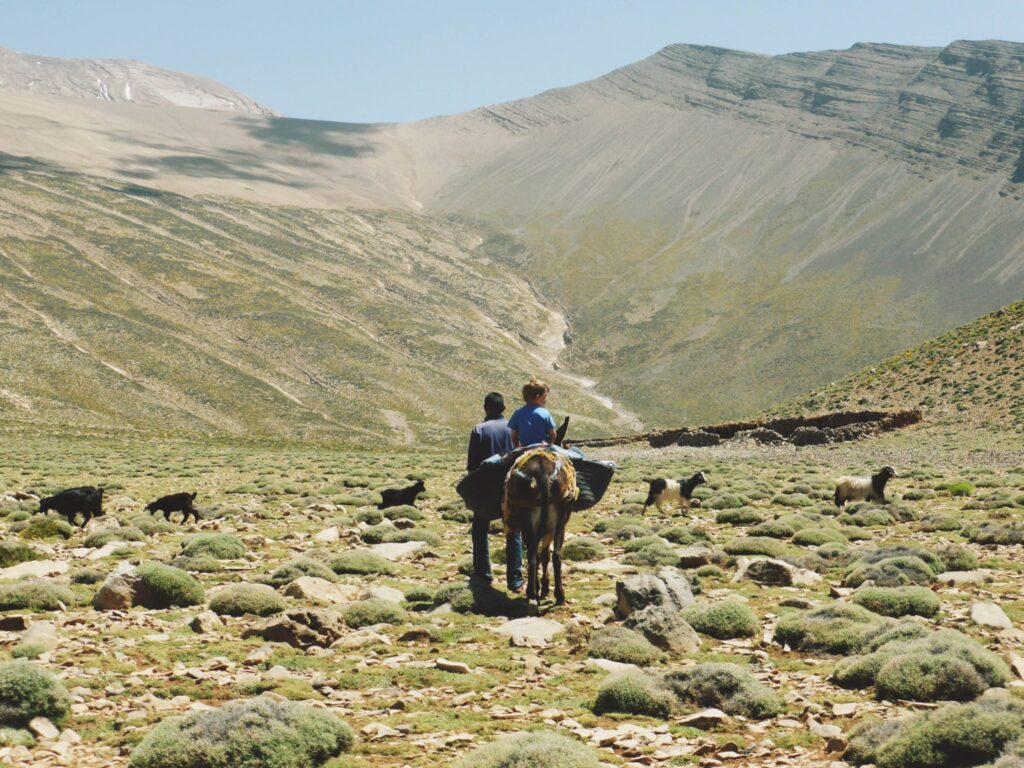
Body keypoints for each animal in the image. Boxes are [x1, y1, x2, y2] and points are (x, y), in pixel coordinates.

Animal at [501, 450, 577, 606]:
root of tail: (541, 472)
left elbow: (542, 555)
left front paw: (543, 587)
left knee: (534, 556)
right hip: (558, 523)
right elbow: (545, 555)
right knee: (554, 556)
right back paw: (556, 595)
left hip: (530, 522)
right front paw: (545, 587)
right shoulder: (549, 530)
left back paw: (533, 593)